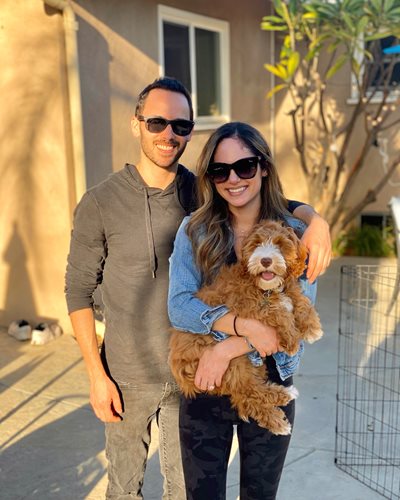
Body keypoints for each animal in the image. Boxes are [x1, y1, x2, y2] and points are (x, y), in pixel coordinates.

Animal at [168, 221, 322, 436]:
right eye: (256, 243)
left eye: (280, 244)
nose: (265, 260)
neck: (265, 288)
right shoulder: (244, 305)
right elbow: (275, 311)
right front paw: (291, 339)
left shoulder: (287, 289)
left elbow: (298, 297)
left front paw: (311, 325)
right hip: (232, 363)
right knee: (247, 394)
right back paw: (279, 418)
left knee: (247, 392)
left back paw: (283, 394)